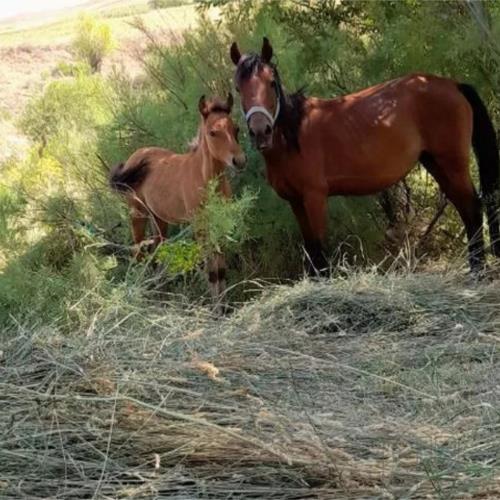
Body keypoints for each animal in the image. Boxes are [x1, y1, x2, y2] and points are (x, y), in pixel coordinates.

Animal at [111, 94, 248, 300]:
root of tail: (135, 156)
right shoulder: (200, 226)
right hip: (137, 214)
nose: (239, 161)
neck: (204, 178)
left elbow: (221, 268)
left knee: (155, 250)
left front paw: (225, 303)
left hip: (159, 219)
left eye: (236, 128)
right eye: (212, 132)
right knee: (138, 253)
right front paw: (216, 306)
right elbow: (212, 271)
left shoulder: (219, 221)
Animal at [230, 37, 500, 276]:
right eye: (238, 88)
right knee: (466, 208)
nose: (260, 131)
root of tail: (452, 85)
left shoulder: (314, 197)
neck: (293, 134)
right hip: (436, 163)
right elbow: (311, 249)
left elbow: (320, 252)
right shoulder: (296, 202)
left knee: (472, 208)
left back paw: (478, 271)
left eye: (271, 82)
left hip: (452, 162)